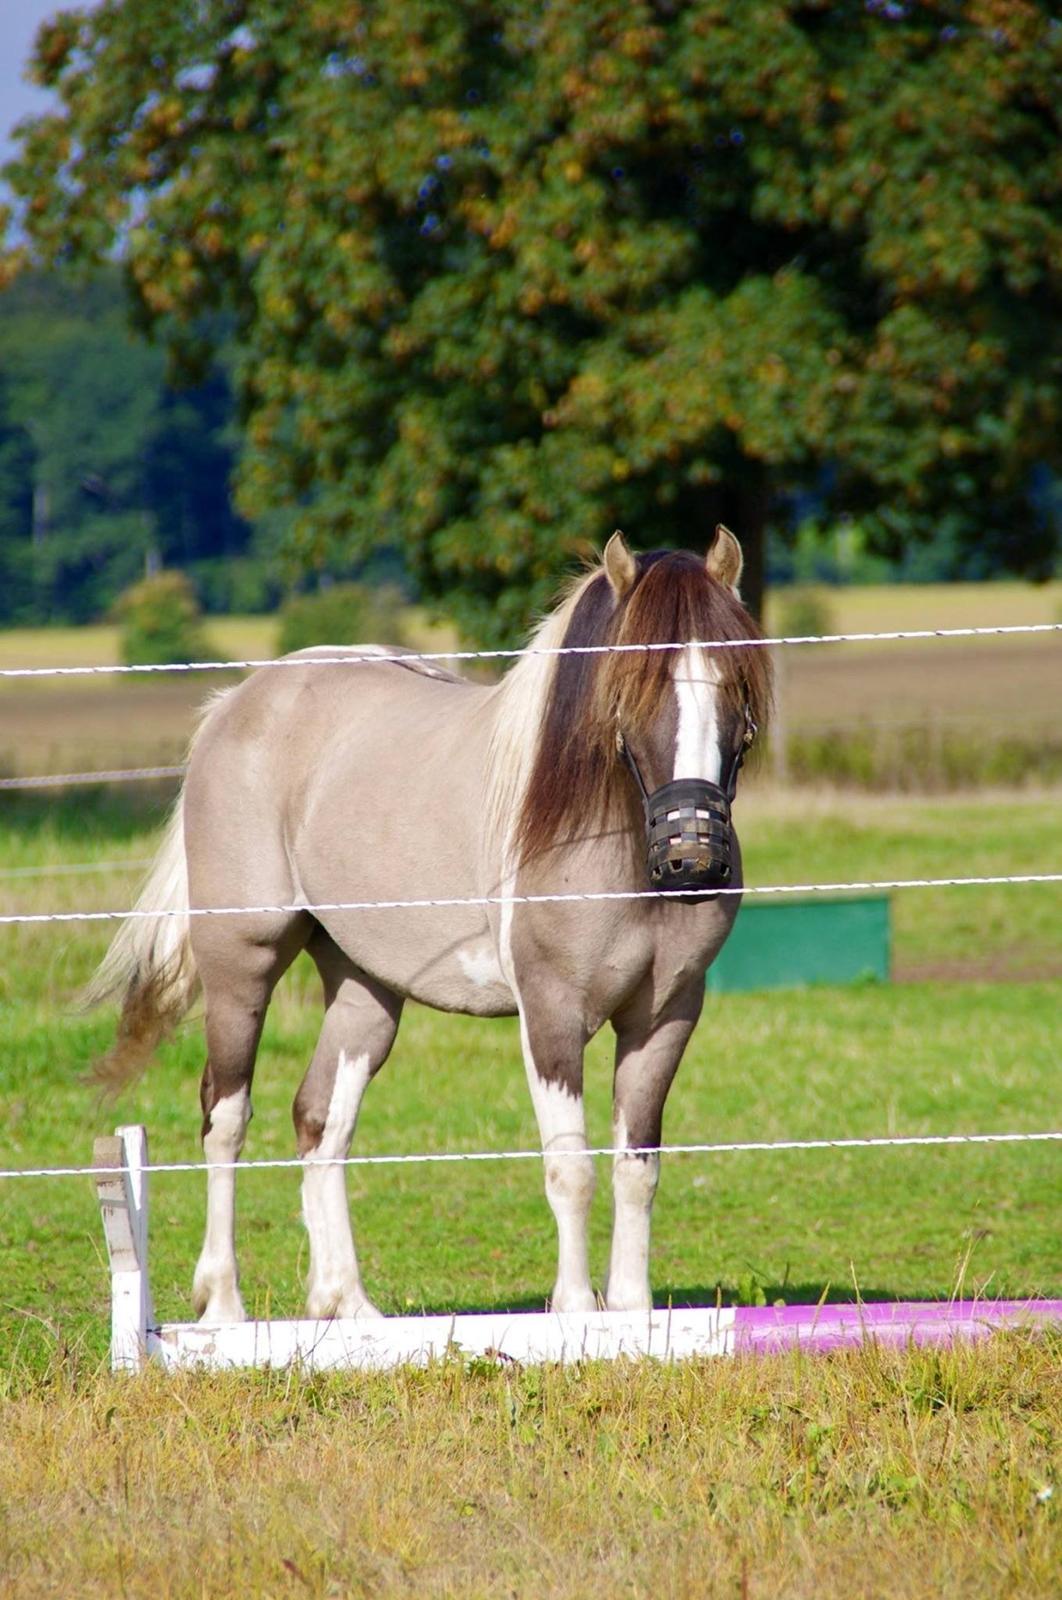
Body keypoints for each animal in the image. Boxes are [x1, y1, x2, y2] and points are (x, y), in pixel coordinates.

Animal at [89, 531, 770, 1318]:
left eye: (737, 683)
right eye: (631, 687)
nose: (693, 854)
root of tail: (238, 703)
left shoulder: (664, 1018)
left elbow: (637, 1168)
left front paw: (631, 1311)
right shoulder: (552, 1016)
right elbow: (570, 1168)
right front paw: (575, 1310)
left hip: (365, 990)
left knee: (321, 1120)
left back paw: (347, 1305)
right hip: (242, 966)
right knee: (225, 1117)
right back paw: (223, 1304)